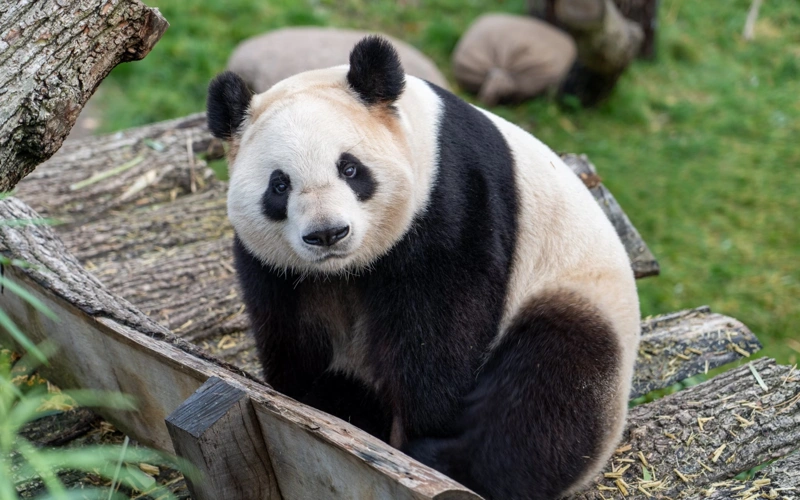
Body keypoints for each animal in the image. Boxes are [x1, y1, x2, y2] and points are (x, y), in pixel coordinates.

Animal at [207, 36, 640, 500]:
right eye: (279, 184)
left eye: (350, 168)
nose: (327, 233)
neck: (348, 269)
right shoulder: (276, 266)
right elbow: (293, 329)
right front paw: (315, 399)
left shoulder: (452, 197)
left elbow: (439, 326)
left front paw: (419, 427)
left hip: (575, 292)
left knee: (550, 388)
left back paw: (447, 460)